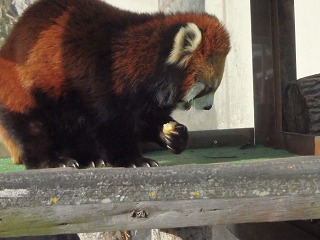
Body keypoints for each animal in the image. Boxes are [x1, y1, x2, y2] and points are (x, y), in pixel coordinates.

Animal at [0, 0, 230, 169]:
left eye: (215, 88)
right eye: (208, 88)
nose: (208, 107)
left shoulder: (145, 97)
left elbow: (147, 119)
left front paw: (173, 136)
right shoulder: (104, 78)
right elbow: (113, 125)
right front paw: (134, 160)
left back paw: (88, 158)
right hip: (27, 88)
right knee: (33, 125)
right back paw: (50, 161)